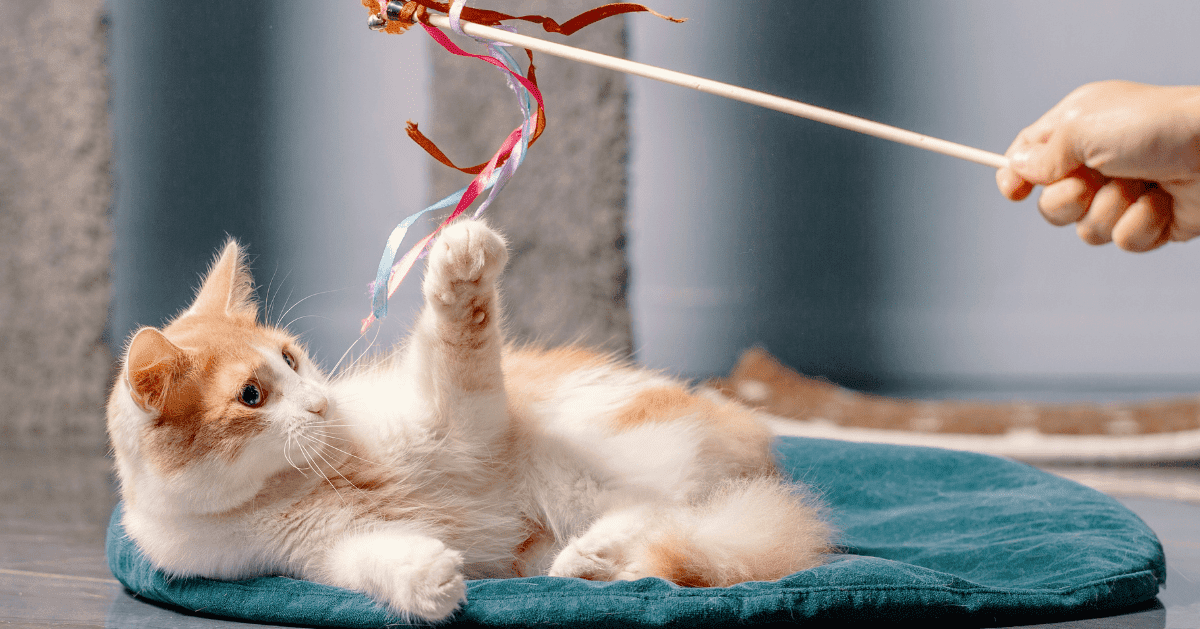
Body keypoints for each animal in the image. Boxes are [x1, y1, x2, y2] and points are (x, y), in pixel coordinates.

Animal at [108, 219, 830, 619]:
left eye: (290, 357)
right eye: (252, 395)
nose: (320, 403)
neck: (299, 481)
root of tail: (755, 447)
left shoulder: (461, 424)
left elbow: (458, 346)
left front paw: (459, 266)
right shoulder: (305, 555)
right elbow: (367, 561)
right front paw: (424, 579)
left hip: (583, 458)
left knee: (674, 513)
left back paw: (595, 553)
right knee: (681, 526)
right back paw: (594, 562)